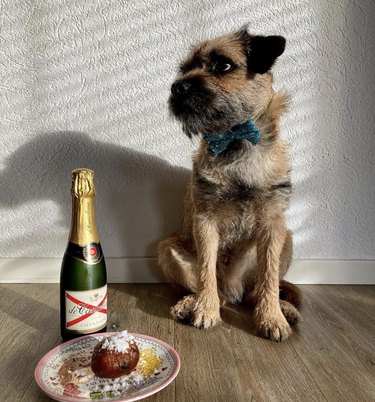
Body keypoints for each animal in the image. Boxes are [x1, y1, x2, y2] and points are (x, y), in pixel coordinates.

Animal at [158, 28, 302, 340]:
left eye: (223, 65)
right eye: (184, 69)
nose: (177, 88)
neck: (238, 139)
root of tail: (234, 286)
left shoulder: (273, 226)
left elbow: (269, 277)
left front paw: (271, 318)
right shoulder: (205, 221)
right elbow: (205, 272)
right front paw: (205, 311)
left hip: (287, 238)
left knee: (256, 291)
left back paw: (283, 308)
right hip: (166, 248)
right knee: (217, 291)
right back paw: (192, 303)